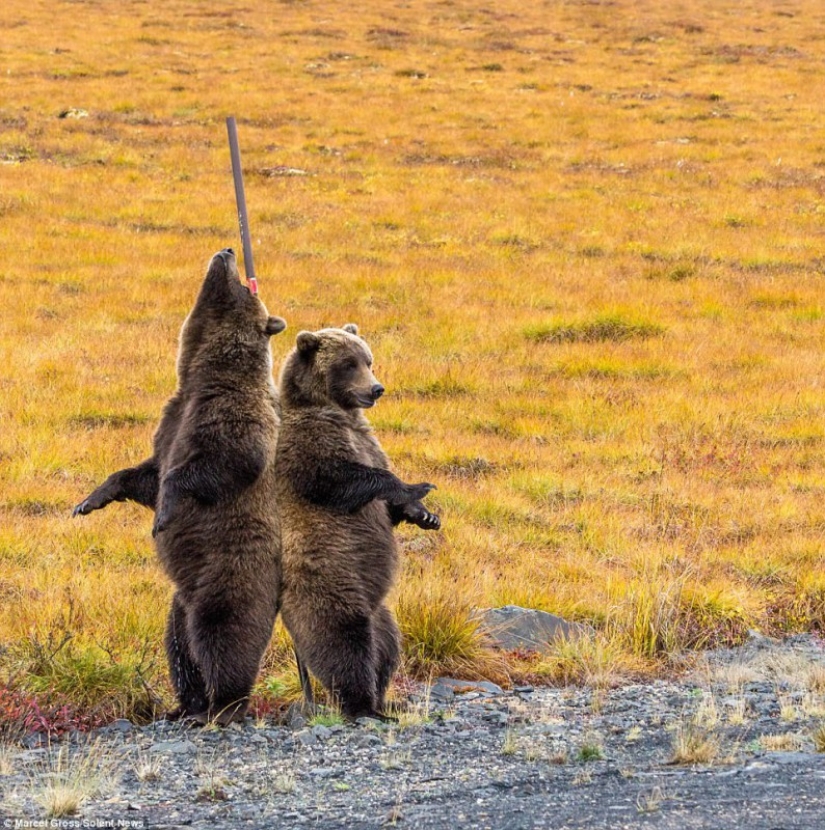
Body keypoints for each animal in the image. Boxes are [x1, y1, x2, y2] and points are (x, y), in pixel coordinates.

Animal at [73, 248, 286, 725]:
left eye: (244, 285)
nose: (227, 250)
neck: (200, 374)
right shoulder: (171, 419)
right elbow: (144, 474)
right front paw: (89, 500)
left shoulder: (231, 411)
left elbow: (227, 459)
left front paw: (164, 514)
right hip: (179, 604)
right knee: (179, 647)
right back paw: (185, 705)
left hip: (228, 578)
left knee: (224, 639)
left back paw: (223, 704)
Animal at [275, 324, 440, 720]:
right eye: (348, 364)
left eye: (369, 360)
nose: (376, 388)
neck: (340, 414)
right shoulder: (309, 447)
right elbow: (342, 480)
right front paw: (415, 486)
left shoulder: (367, 440)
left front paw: (424, 514)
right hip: (332, 587)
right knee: (344, 644)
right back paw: (363, 705)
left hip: (379, 610)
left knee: (386, 645)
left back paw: (387, 699)